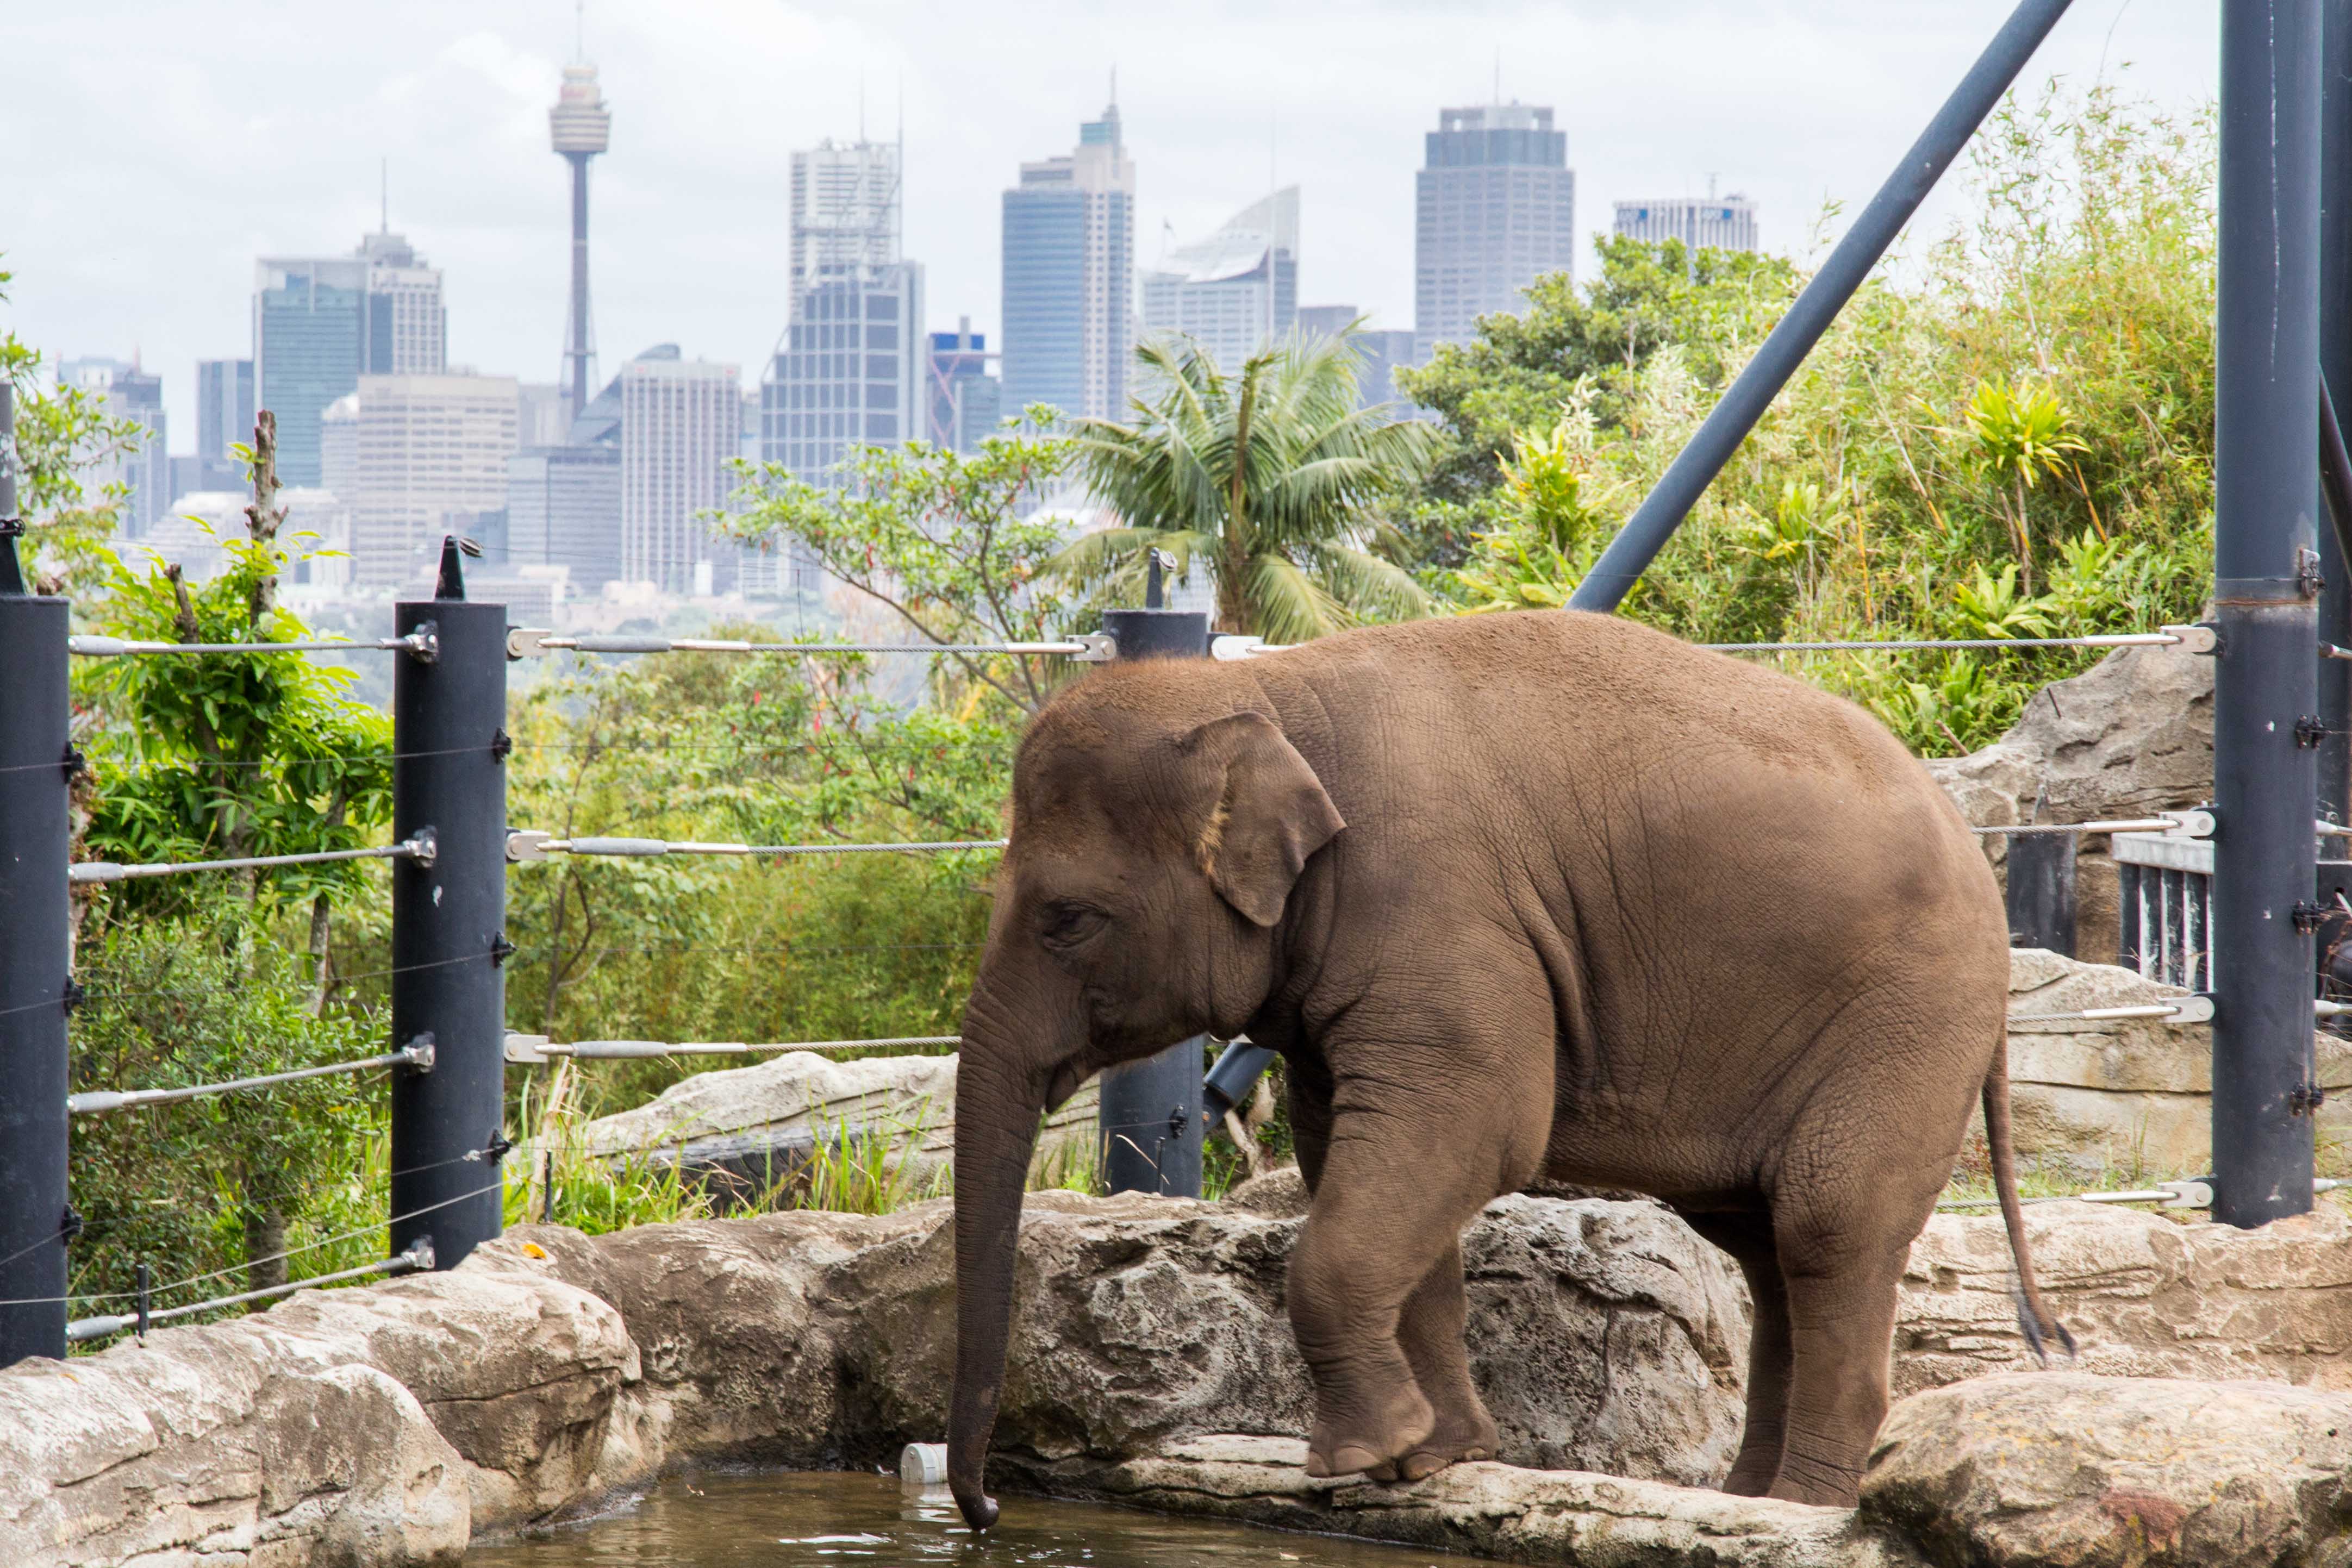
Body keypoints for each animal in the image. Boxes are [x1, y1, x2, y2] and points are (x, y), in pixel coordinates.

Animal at [945, 606, 2069, 1523]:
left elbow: (1473, 1129)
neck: (1273, 695)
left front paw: (1358, 1458)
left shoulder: (1436, 911)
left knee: (1826, 1224)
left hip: (1905, 1024)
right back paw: (1744, 1497)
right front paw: (1429, 1459)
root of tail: (1984, 873)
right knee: (1763, 1241)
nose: (989, 1511)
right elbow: (1358, 1154)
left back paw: (1798, 1510)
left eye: (1066, 920)